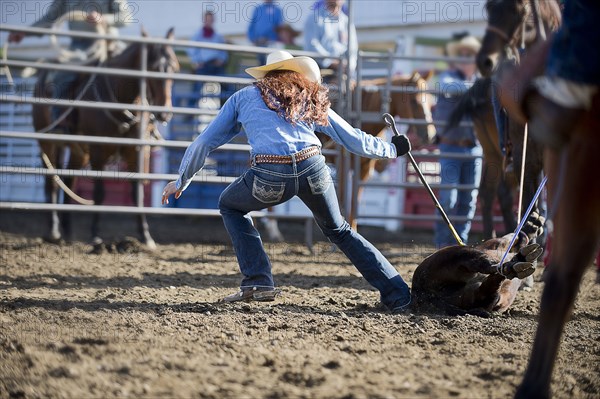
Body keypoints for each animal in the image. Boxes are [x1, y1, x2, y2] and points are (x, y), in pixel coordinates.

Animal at [33, 28, 178, 247]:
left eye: (174, 67)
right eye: (153, 68)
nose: (165, 114)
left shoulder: (135, 151)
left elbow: (137, 193)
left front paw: (146, 237)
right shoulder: (98, 150)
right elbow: (99, 193)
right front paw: (95, 236)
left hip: (79, 151)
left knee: (69, 180)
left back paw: (68, 233)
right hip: (48, 143)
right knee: (51, 182)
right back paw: (54, 231)